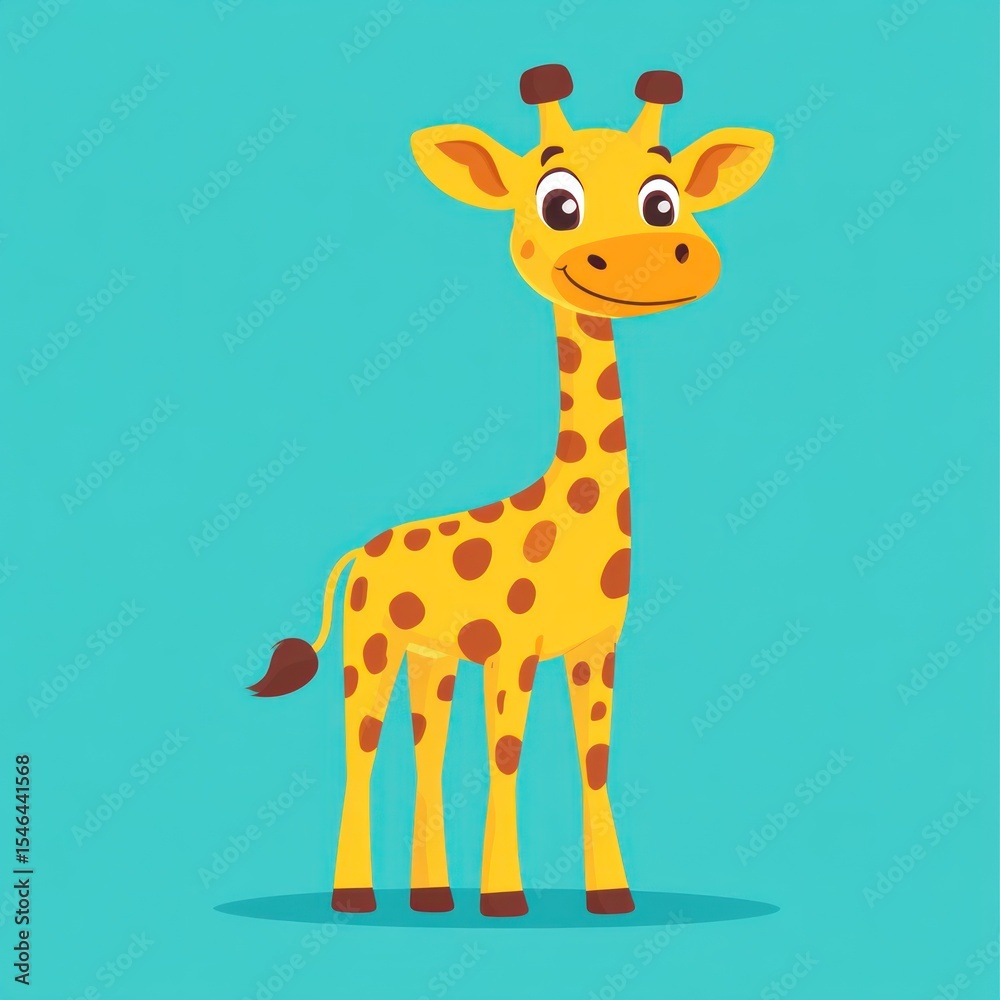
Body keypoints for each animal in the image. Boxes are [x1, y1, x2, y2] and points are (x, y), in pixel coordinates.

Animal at [249, 64, 772, 917]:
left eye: (663, 198)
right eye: (558, 201)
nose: (656, 256)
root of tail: (358, 553)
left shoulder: (594, 648)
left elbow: (592, 759)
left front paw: (611, 896)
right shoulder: (513, 648)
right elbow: (507, 755)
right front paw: (505, 898)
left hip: (431, 659)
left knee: (424, 751)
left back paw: (430, 897)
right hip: (373, 647)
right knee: (361, 750)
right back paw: (356, 895)